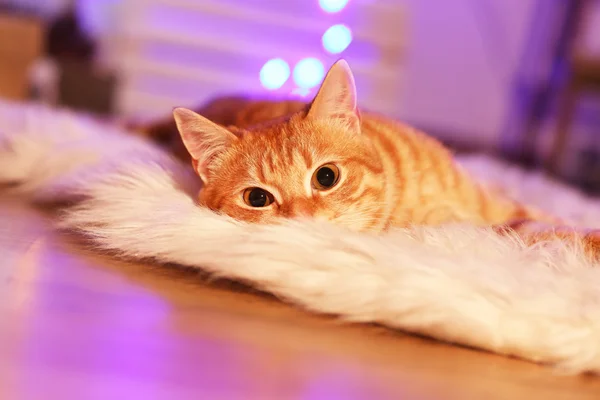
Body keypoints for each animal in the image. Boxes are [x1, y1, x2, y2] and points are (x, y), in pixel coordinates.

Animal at [135, 59, 600, 260]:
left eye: (326, 177)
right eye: (257, 199)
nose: (301, 220)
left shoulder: (494, 204)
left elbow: (542, 214)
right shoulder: (493, 227)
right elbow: (545, 231)